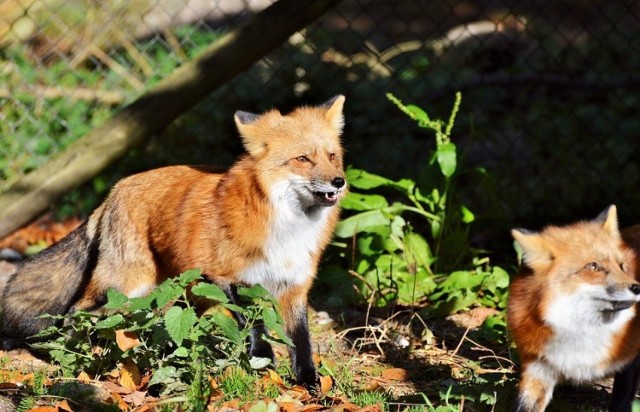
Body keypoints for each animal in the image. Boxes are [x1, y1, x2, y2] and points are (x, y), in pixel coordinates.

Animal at [0, 95, 348, 388]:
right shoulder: (225, 277)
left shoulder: (294, 287)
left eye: (332, 156)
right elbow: (255, 327)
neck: (288, 228)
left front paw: (310, 385)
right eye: (302, 159)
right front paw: (263, 363)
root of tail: (115, 189)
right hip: (125, 284)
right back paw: (79, 355)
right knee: (77, 310)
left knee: (161, 325)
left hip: (185, 293)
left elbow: (301, 343)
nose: (339, 181)